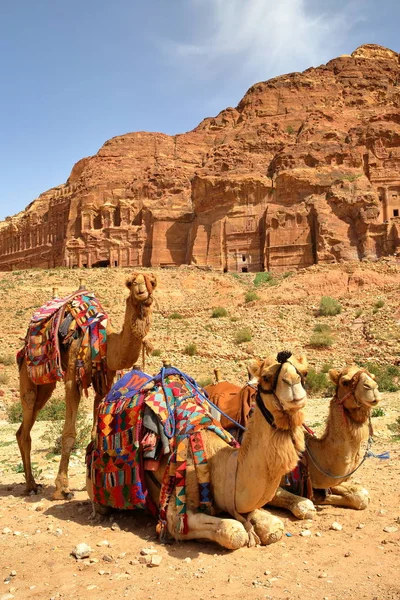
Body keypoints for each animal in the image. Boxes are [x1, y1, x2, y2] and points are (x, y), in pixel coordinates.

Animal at [17, 270, 158, 500]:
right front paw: (62, 489)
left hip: (45, 386)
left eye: (152, 282)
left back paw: (32, 483)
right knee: (25, 424)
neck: (106, 341)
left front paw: (91, 481)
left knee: (24, 426)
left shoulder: (104, 383)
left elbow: (94, 433)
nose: (142, 290)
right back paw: (31, 485)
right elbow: (69, 435)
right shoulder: (72, 378)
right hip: (28, 373)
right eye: (130, 283)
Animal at [87, 350, 310, 552]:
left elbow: (274, 526)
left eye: (304, 372)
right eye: (266, 377)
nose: (292, 383)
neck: (218, 464)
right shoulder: (174, 512)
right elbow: (234, 531)